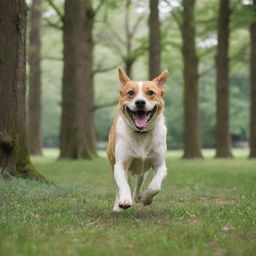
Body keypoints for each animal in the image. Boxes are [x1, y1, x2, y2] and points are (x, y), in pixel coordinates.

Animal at [106, 67, 168, 211]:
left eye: (151, 92)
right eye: (130, 92)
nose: (140, 102)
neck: (141, 133)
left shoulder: (160, 164)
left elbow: (155, 186)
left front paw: (146, 198)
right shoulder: (120, 164)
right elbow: (123, 185)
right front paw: (124, 201)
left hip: (143, 169)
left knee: (140, 180)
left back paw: (139, 196)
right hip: (113, 161)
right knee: (121, 185)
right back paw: (118, 206)